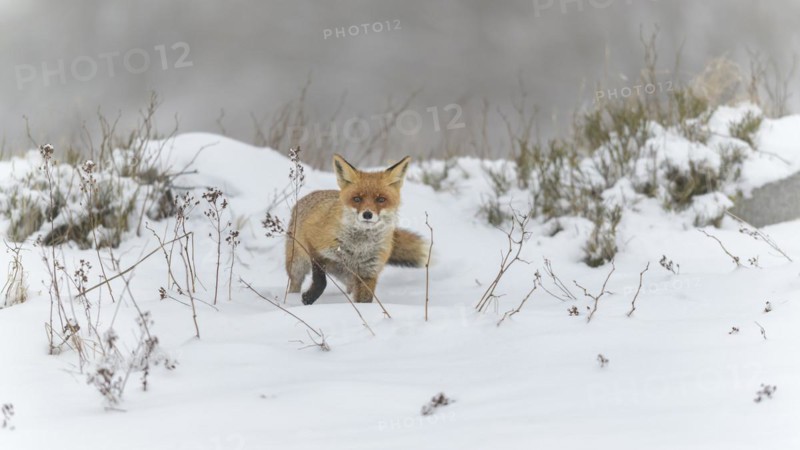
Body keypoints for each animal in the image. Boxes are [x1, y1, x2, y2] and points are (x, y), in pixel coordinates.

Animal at [285, 154, 428, 305]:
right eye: (357, 199)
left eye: (381, 199)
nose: (367, 214)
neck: (358, 247)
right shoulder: (314, 246)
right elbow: (321, 281)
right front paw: (309, 298)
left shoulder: (368, 272)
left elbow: (364, 301)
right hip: (297, 265)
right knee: (295, 283)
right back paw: (291, 299)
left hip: (348, 277)